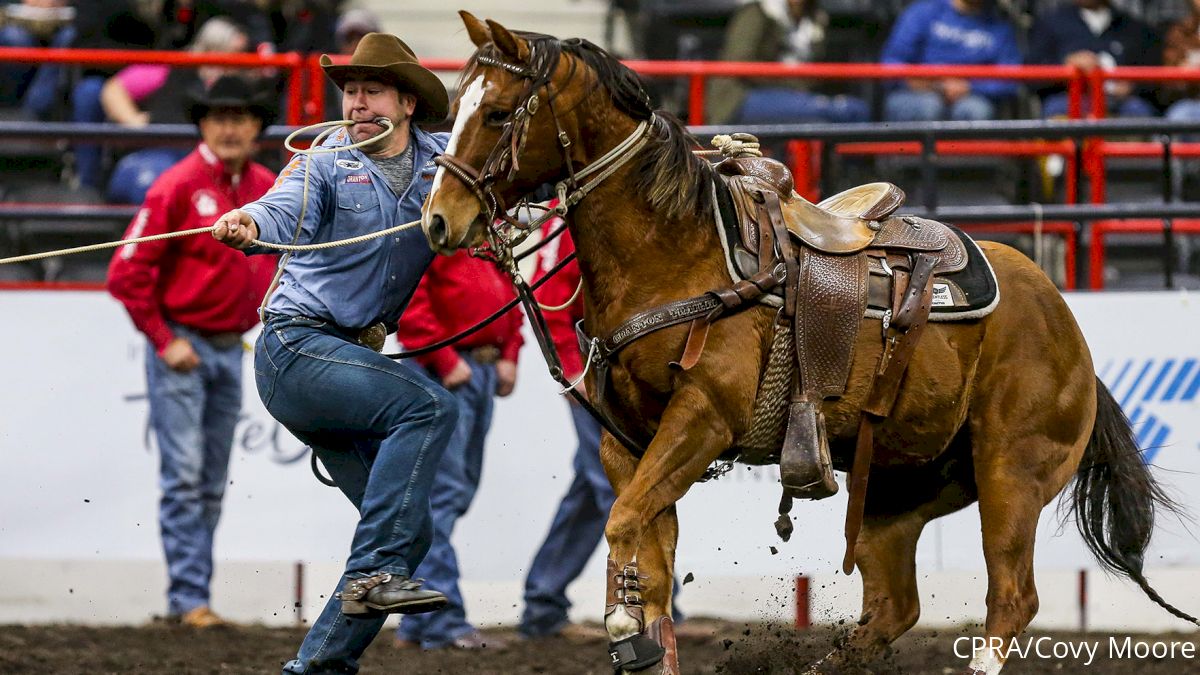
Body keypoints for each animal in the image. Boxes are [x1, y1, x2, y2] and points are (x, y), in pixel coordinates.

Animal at [420, 11, 1190, 672]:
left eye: (496, 113)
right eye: (453, 110)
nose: (437, 220)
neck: (676, 253)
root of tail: (1065, 324)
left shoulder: (702, 419)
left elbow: (622, 526)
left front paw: (617, 625)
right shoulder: (627, 443)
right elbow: (648, 563)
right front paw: (636, 630)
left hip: (1013, 472)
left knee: (1010, 599)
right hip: (898, 490)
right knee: (892, 609)